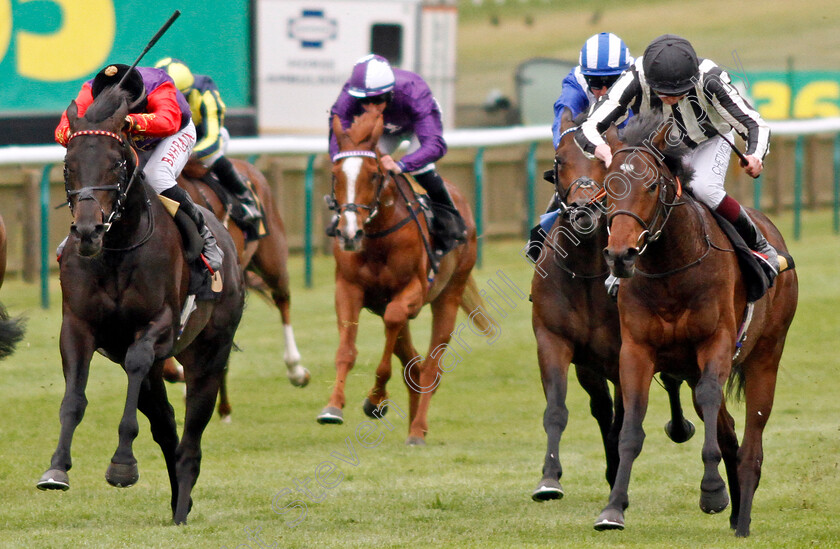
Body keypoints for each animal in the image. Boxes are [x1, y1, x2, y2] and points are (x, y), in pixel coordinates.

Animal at [37, 84, 246, 524]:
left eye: (116, 164)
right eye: (68, 166)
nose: (87, 230)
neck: (117, 246)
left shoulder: (159, 325)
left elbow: (136, 362)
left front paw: (122, 465)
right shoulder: (77, 325)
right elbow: (73, 399)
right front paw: (57, 468)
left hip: (209, 355)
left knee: (191, 435)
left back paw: (182, 506)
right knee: (166, 424)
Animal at [316, 111, 486, 446]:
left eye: (373, 174)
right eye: (336, 174)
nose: (349, 233)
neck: (378, 236)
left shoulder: (414, 292)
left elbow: (394, 322)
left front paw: (376, 399)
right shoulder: (348, 288)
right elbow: (346, 349)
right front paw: (333, 406)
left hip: (450, 293)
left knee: (431, 366)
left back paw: (417, 430)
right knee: (413, 362)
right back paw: (412, 422)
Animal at [532, 108, 696, 500]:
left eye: (604, 165)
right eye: (560, 159)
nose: (583, 211)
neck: (587, 276)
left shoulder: (626, 352)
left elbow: (623, 419)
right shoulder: (554, 341)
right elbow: (557, 409)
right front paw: (549, 478)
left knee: (668, 383)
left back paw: (678, 427)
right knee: (601, 409)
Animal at [592, 113, 796, 536]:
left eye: (651, 185)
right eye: (609, 188)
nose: (620, 256)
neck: (671, 270)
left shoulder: (715, 343)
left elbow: (710, 396)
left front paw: (713, 492)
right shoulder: (636, 350)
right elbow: (631, 425)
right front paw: (613, 508)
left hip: (766, 355)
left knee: (751, 441)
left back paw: (742, 519)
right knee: (728, 429)